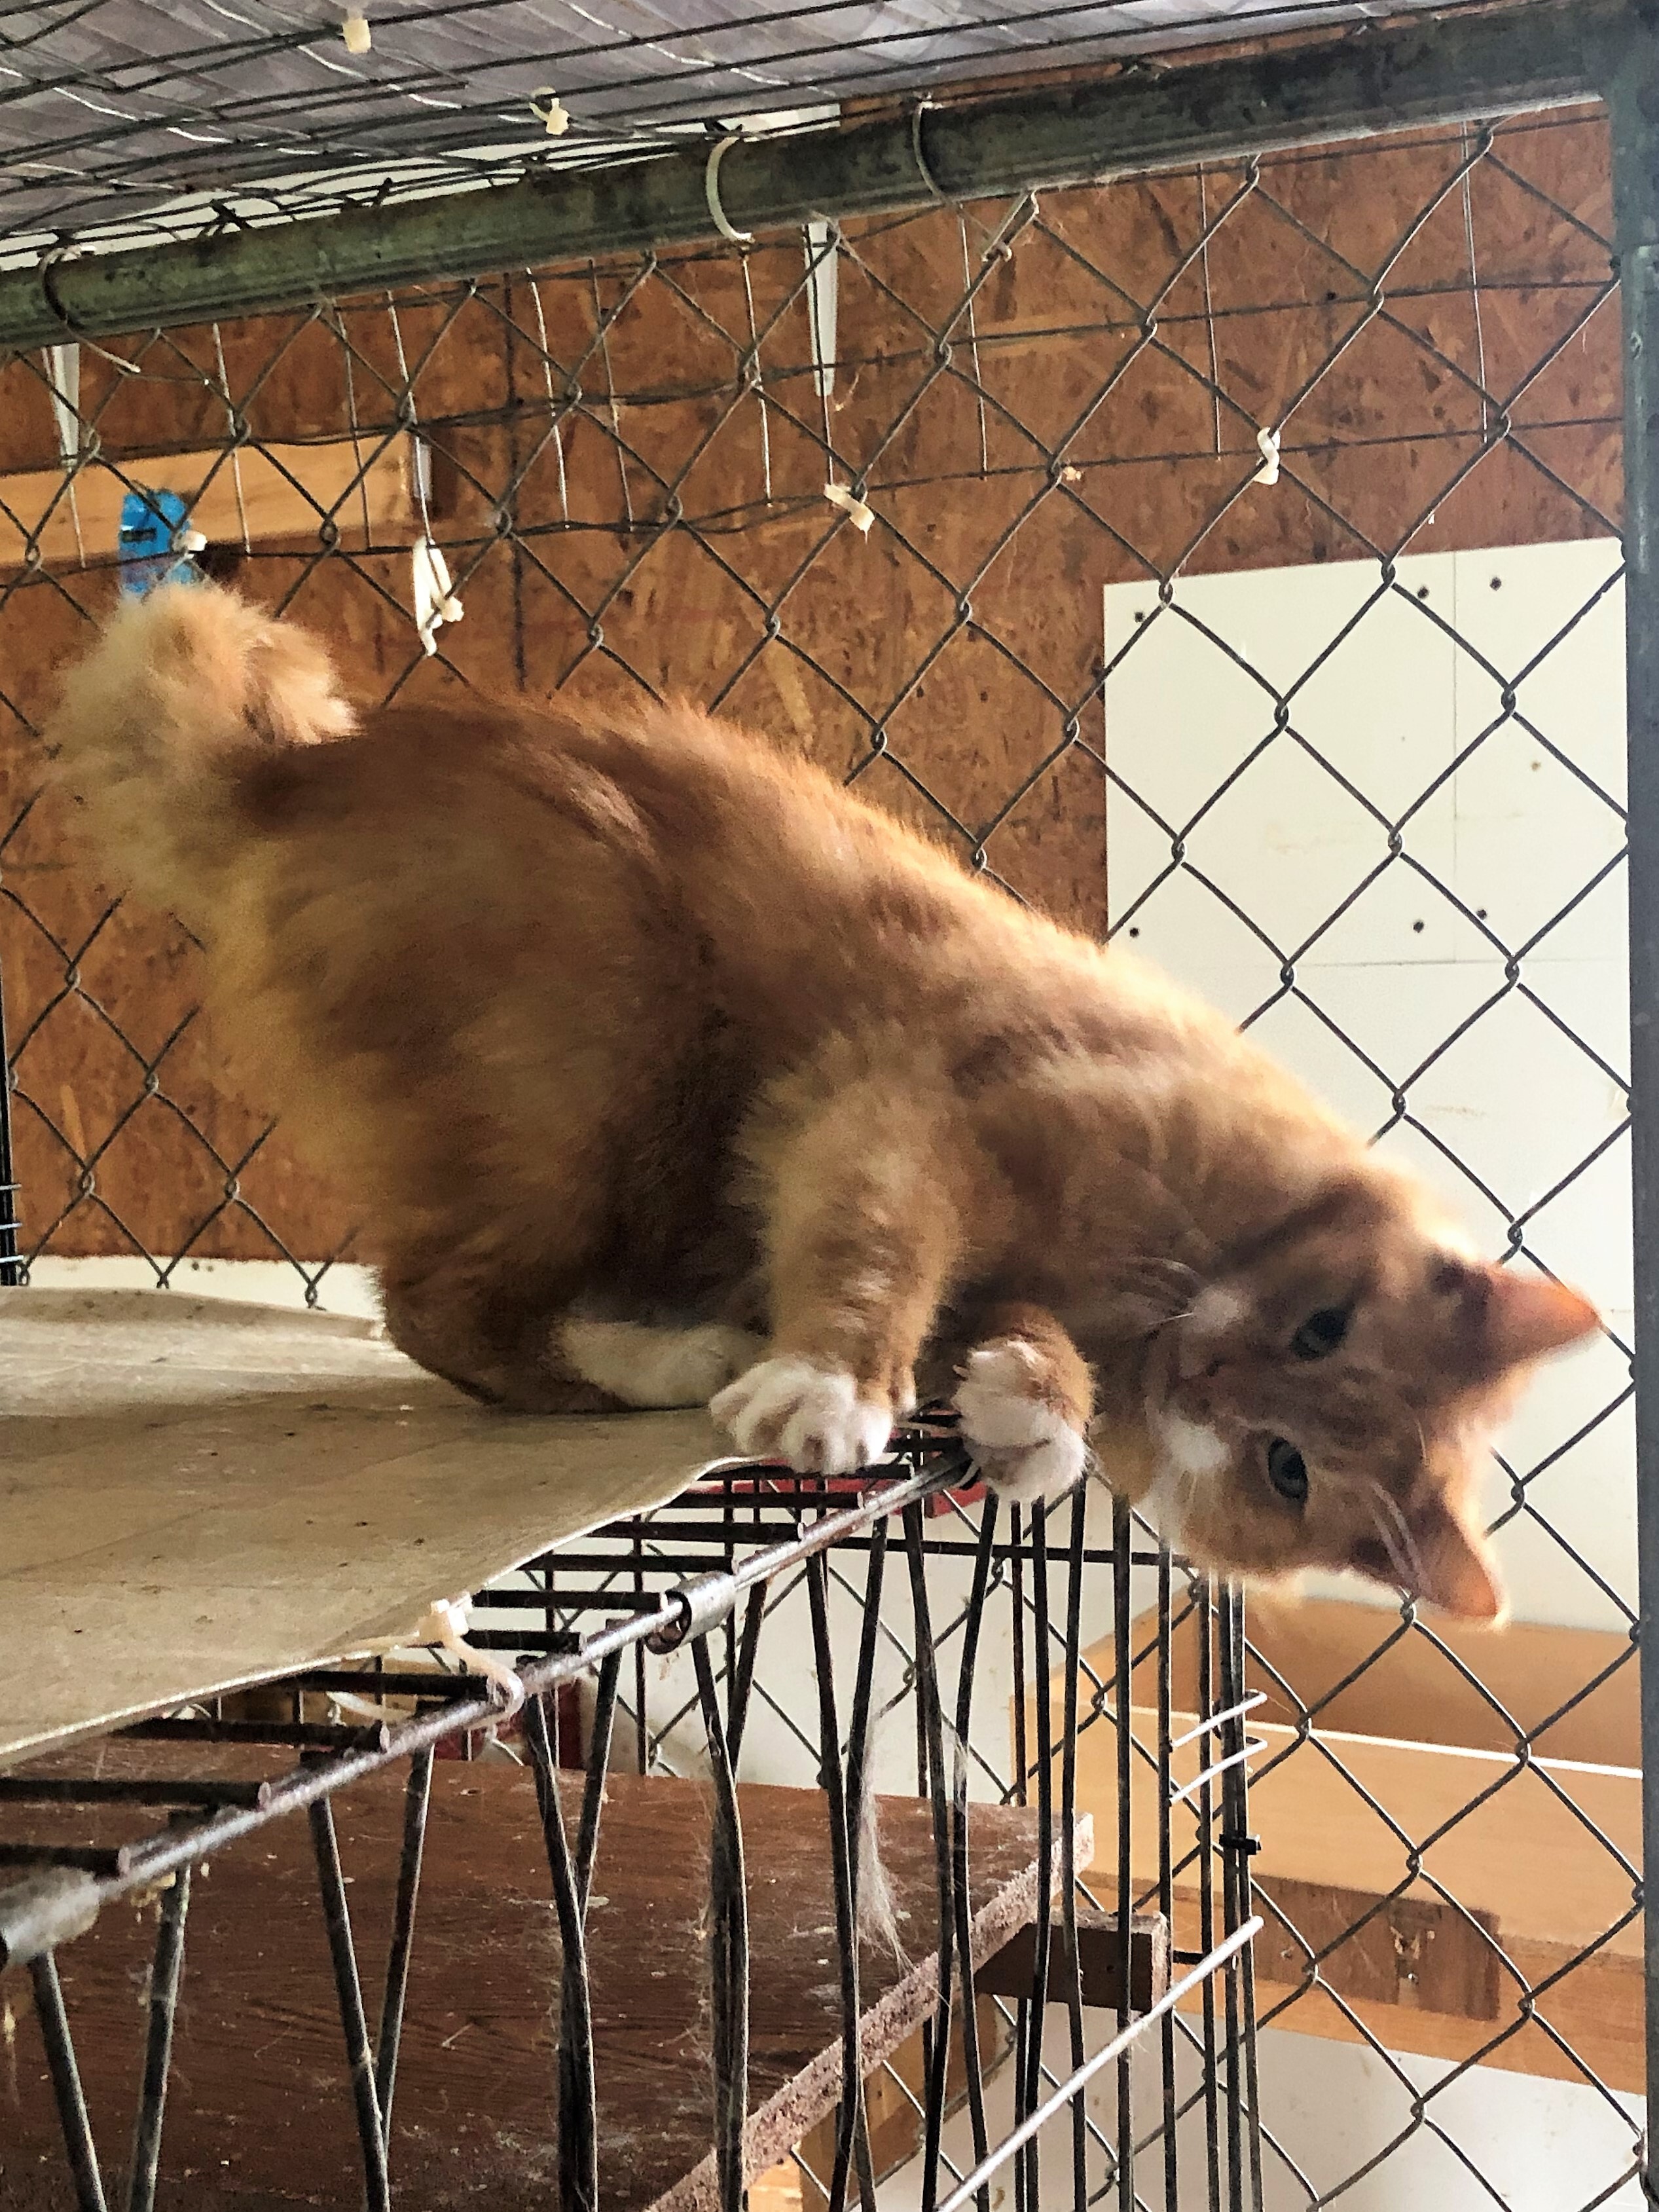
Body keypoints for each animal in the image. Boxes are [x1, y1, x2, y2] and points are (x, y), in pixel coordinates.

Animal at [45, 588, 1601, 1628]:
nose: (1217, 1382)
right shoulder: (906, 1111)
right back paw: (675, 1363)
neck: (1166, 1265)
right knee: (437, 1310)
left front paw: (1026, 1410)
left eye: (1286, 1471)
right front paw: (836, 1386)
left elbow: (1013, 1360)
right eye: (1319, 1332)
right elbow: (874, 1250)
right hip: (599, 1051)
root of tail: (293, 770)